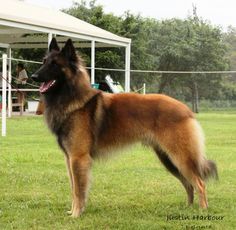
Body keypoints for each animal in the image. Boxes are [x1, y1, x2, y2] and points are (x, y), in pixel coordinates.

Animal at [31, 38, 218, 217]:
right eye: (44, 61)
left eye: (55, 64)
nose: (33, 76)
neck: (72, 98)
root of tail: (186, 110)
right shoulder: (69, 158)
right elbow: (73, 189)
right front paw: (74, 211)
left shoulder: (78, 158)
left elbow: (78, 190)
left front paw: (76, 214)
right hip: (169, 159)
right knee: (188, 184)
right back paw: (188, 208)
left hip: (180, 157)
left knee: (199, 183)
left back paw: (202, 210)